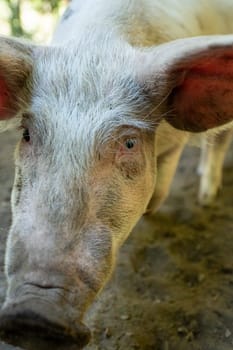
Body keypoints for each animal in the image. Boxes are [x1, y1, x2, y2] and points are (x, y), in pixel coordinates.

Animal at [0, 0, 233, 348]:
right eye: (26, 134)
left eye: (129, 142)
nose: (33, 316)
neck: (98, 42)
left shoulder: (174, 145)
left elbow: (159, 193)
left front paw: (151, 212)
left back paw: (206, 198)